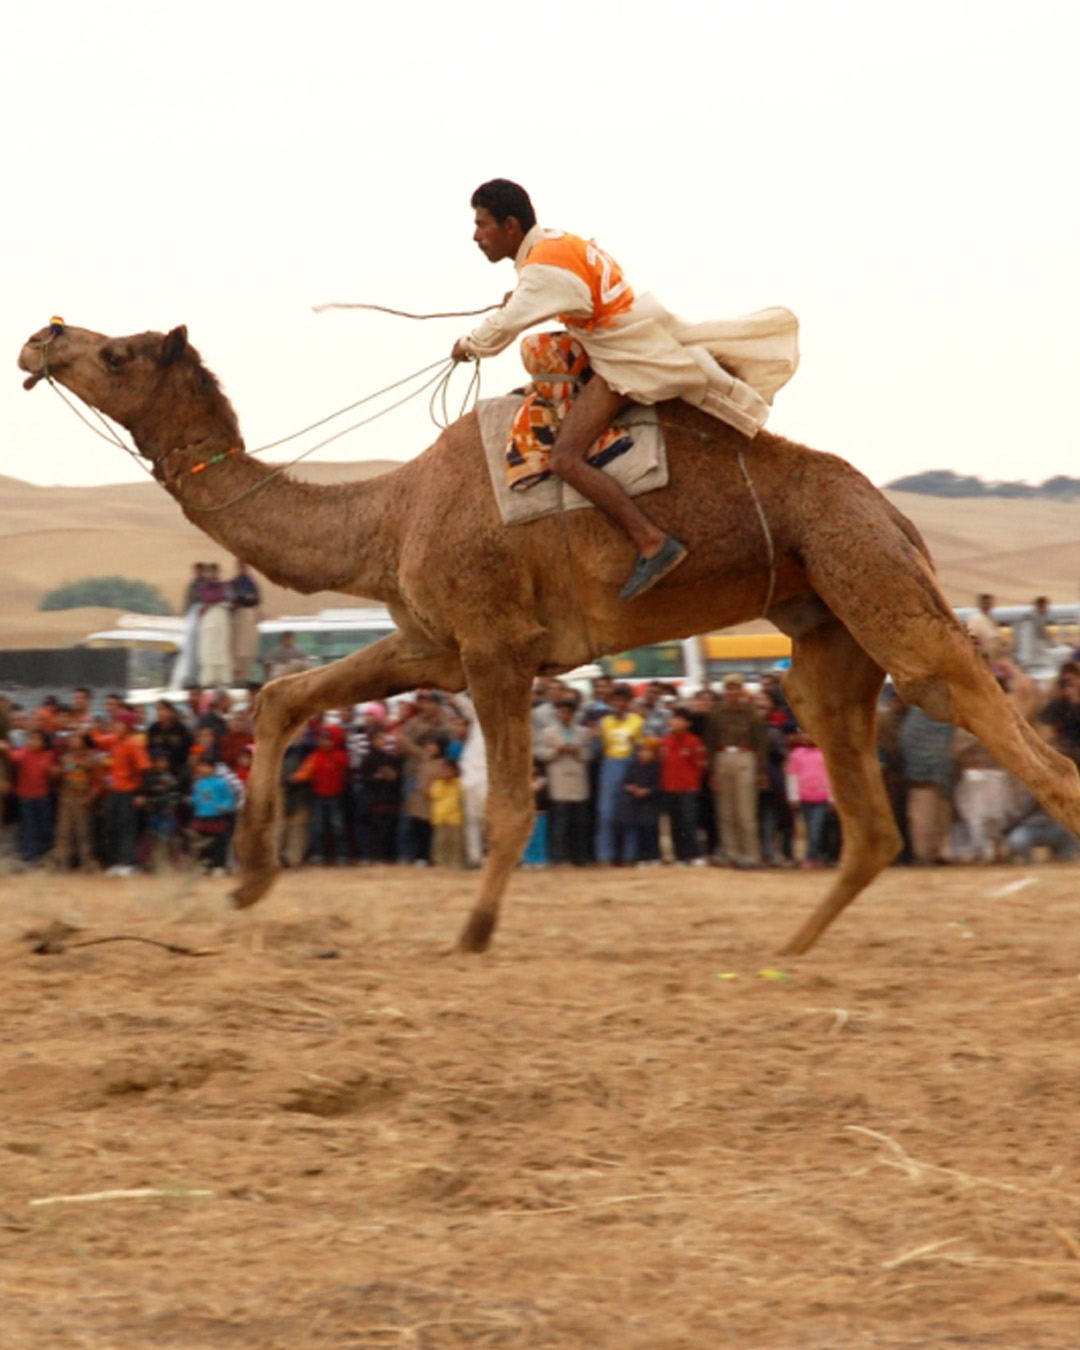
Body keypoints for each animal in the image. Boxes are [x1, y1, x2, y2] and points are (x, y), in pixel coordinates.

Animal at [16, 318, 1080, 950]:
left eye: (117, 354)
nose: (43, 335)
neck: (385, 519)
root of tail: (892, 512)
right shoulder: (431, 645)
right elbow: (281, 695)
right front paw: (247, 883)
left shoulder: (495, 648)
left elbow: (511, 807)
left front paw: (473, 936)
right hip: (826, 628)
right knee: (865, 805)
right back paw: (786, 953)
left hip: (871, 576)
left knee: (976, 708)